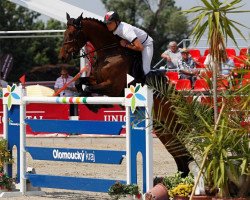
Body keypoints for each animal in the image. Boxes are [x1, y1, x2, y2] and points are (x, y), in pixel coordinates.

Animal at [59, 13, 193, 176]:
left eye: (72, 34)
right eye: (65, 33)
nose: (62, 57)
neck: (110, 53)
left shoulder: (112, 87)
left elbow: (88, 90)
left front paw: (97, 106)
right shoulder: (96, 79)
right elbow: (81, 84)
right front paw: (94, 104)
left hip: (171, 128)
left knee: (182, 154)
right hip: (162, 130)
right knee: (180, 155)